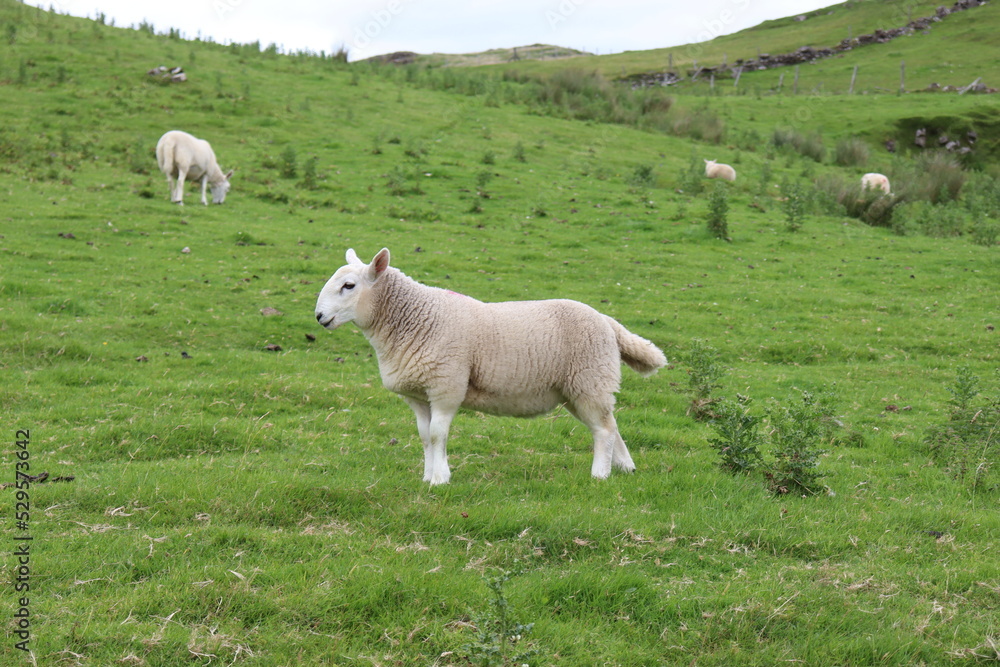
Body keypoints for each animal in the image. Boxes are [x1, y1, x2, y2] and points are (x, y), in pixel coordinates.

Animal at [314, 248, 667, 486]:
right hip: (579, 388)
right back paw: (625, 467)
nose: (319, 316)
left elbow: (439, 434)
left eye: (348, 286)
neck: (414, 319)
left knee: (604, 430)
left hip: (589, 379)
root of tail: (607, 321)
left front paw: (441, 479)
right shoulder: (417, 394)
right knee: (609, 424)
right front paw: (427, 477)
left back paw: (600, 475)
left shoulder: (446, 385)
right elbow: (425, 436)